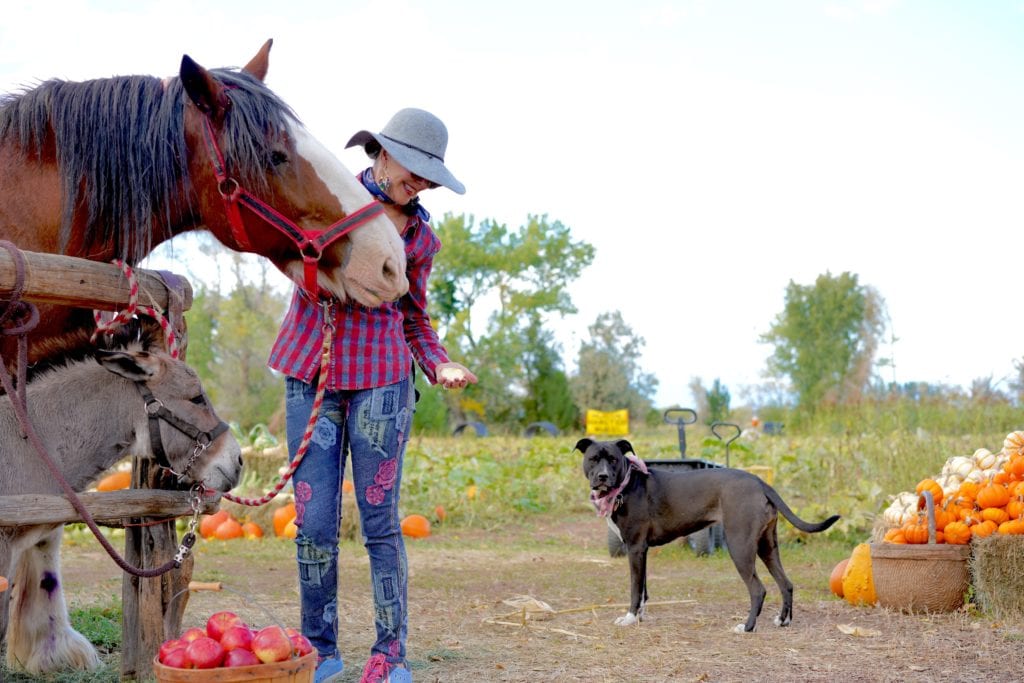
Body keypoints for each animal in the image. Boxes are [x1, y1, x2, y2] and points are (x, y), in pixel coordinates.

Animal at [577, 436, 839, 634]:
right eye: (593, 459)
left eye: (613, 459)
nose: (602, 477)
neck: (626, 485)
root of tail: (759, 481)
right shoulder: (642, 551)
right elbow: (643, 589)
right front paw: (640, 617)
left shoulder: (635, 547)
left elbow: (634, 588)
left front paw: (630, 618)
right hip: (767, 545)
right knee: (786, 584)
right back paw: (783, 621)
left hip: (740, 545)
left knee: (758, 589)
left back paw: (747, 627)